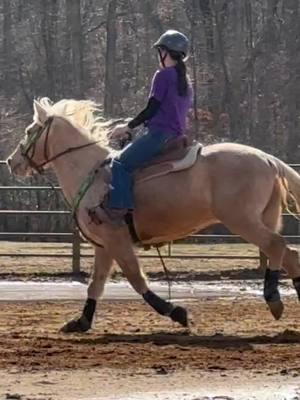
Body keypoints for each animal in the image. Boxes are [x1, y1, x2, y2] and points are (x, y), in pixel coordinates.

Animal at [5, 98, 300, 332]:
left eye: (30, 130)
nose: (11, 162)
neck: (91, 173)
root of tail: (268, 159)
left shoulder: (117, 241)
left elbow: (136, 279)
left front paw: (177, 312)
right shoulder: (104, 245)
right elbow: (95, 285)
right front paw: (81, 322)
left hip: (243, 221)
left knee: (277, 246)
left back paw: (273, 299)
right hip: (264, 218)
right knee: (288, 254)